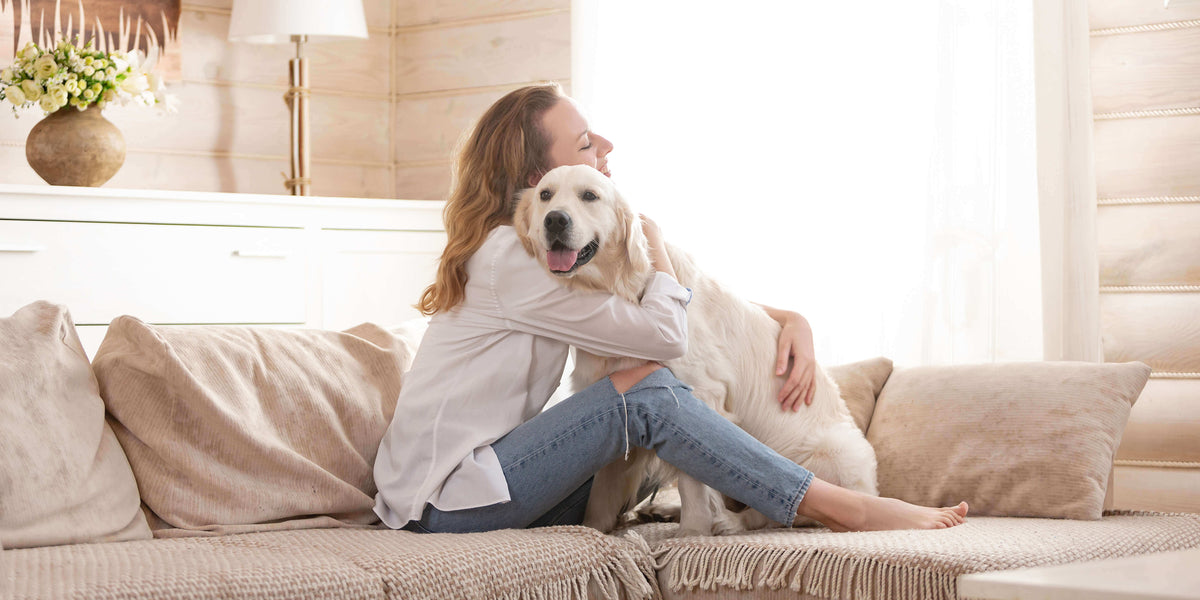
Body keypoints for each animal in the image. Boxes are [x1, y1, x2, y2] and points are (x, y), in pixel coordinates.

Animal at [511, 164, 878, 535]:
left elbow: (691, 478)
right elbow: (604, 485)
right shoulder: (618, 398)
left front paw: (692, 530)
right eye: (545, 195)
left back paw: (728, 520)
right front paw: (594, 529)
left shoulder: (699, 391)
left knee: (778, 511)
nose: (555, 220)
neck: (621, 289)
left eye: (589, 195)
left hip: (832, 452)